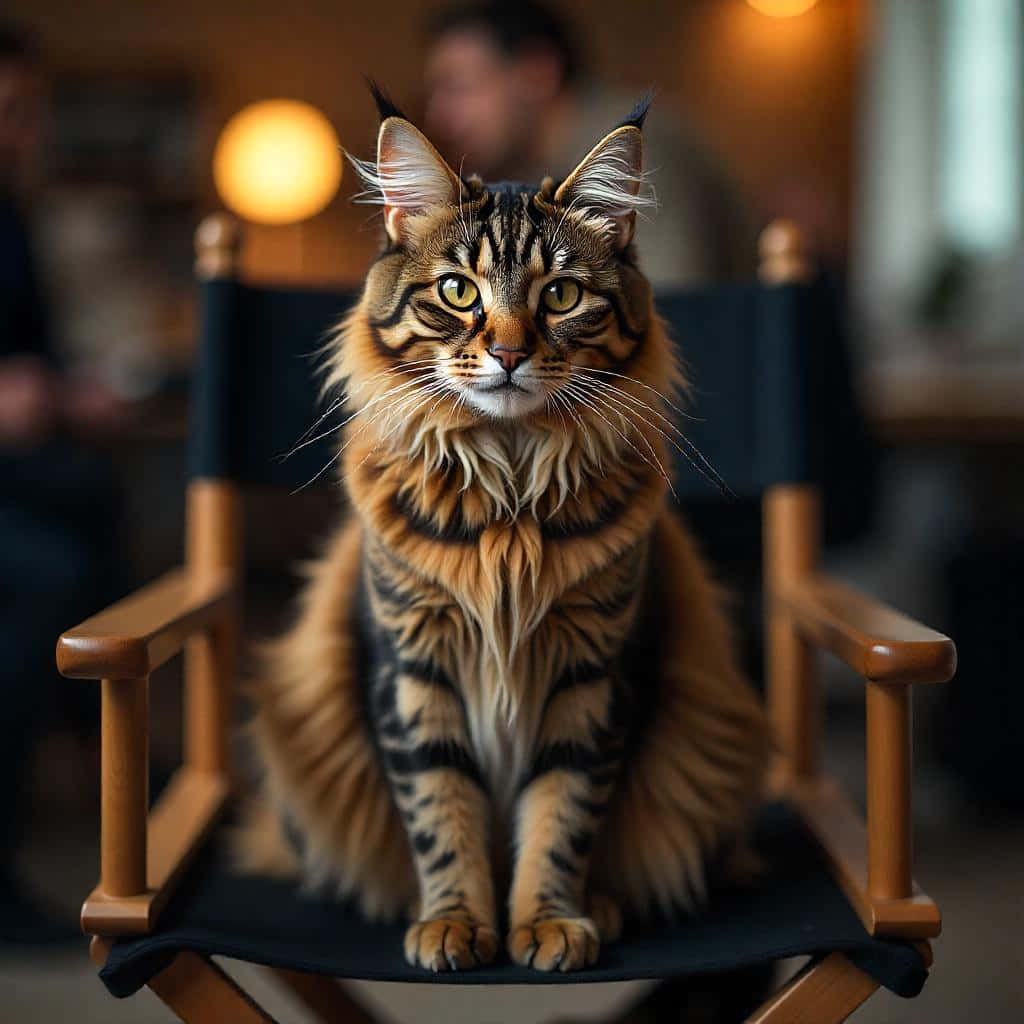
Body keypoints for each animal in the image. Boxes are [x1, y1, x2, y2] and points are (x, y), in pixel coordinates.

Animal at [237, 86, 770, 974]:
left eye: (561, 296)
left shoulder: (593, 671)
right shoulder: (415, 667)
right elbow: (440, 811)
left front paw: (549, 922)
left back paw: (605, 908)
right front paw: (455, 922)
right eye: (459, 292)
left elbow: (562, 815)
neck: (509, 501)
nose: (511, 354)